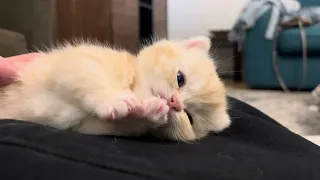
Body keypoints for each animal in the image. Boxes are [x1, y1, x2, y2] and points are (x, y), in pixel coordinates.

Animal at [0, 35, 230, 141]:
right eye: (180, 79)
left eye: (189, 118)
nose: (174, 103)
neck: (131, 84)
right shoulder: (77, 64)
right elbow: (92, 81)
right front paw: (116, 100)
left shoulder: (85, 126)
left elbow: (111, 125)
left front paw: (148, 113)